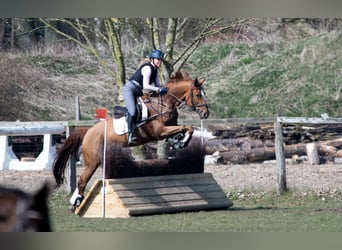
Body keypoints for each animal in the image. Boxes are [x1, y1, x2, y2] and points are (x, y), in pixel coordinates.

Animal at [52, 72, 208, 209]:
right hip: (92, 162)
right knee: (82, 180)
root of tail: (88, 131)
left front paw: (179, 142)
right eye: (197, 95)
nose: (206, 113)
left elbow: (186, 128)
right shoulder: (159, 132)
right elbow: (186, 127)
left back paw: (76, 202)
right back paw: (77, 202)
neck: (164, 103)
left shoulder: (169, 129)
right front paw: (182, 142)